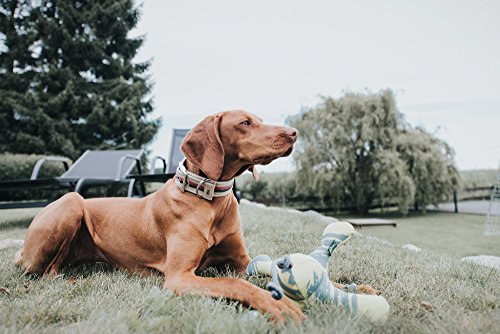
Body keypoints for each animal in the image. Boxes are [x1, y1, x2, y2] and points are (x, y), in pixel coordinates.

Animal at [13, 109, 304, 324]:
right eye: (245, 123)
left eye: (260, 120)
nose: (294, 133)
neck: (211, 201)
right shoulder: (179, 276)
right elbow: (236, 283)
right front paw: (278, 305)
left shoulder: (243, 261)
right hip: (72, 201)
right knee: (47, 271)